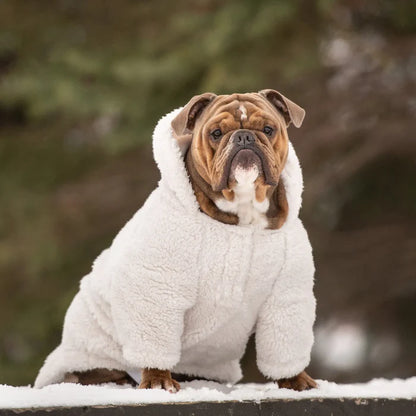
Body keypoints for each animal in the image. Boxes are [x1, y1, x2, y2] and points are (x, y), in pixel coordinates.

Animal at [35, 91, 316, 394]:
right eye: (216, 133)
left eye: (268, 129)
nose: (244, 137)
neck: (243, 215)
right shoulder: (157, 288)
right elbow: (155, 344)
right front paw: (158, 380)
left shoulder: (286, 297)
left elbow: (285, 345)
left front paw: (296, 380)